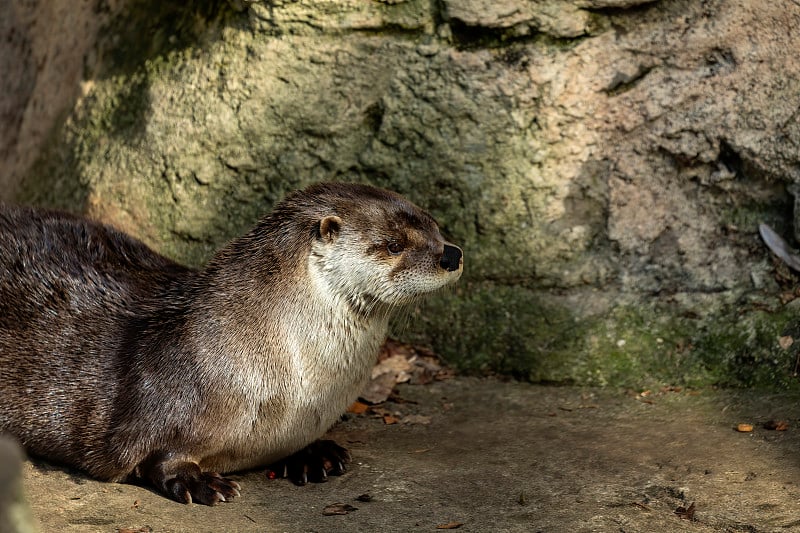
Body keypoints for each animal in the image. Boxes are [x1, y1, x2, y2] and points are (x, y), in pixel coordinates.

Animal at [0, 182, 462, 502]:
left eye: (434, 225)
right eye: (393, 244)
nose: (451, 254)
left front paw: (316, 453)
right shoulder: (163, 401)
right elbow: (154, 455)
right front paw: (197, 482)